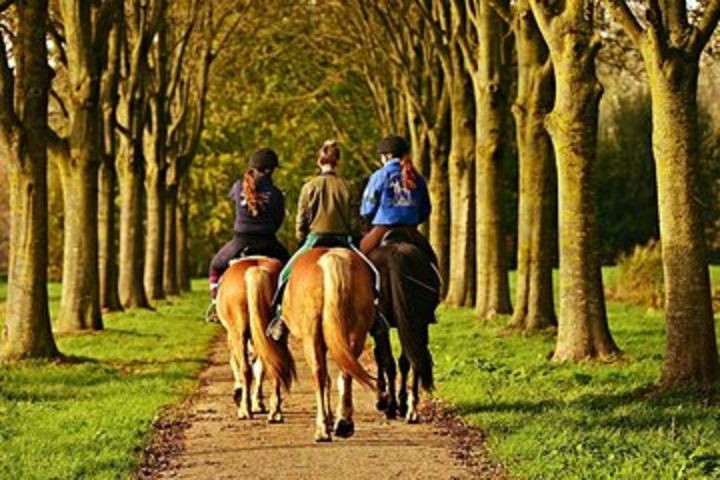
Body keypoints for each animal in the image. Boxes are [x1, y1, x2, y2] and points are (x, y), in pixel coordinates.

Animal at [215, 256, 294, 422]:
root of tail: (256, 270)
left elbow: (237, 365)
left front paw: (240, 395)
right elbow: (260, 368)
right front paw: (258, 403)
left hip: (238, 334)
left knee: (245, 369)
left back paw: (245, 409)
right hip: (276, 334)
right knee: (274, 364)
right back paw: (275, 412)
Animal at [282, 248, 376, 442]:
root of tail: (332, 257)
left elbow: (325, 378)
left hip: (311, 337)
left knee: (318, 374)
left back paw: (322, 429)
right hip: (356, 333)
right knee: (346, 372)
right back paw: (344, 423)